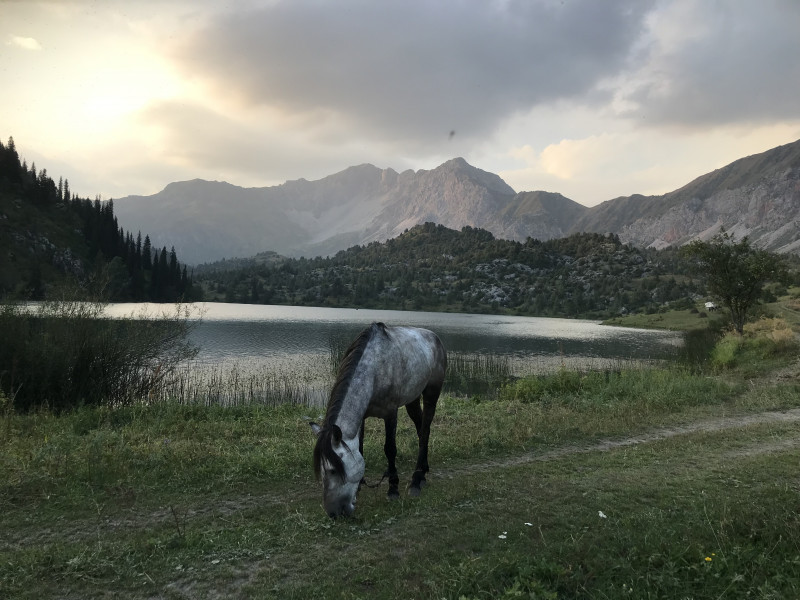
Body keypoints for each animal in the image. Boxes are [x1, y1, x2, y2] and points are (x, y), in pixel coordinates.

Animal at [310, 322, 446, 516]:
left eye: (333, 471)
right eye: (321, 471)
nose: (334, 513)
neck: (375, 370)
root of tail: (435, 338)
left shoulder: (390, 414)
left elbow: (390, 449)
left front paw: (393, 488)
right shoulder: (363, 417)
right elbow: (360, 447)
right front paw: (360, 486)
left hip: (431, 394)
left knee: (425, 431)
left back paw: (416, 480)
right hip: (412, 400)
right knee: (421, 429)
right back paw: (424, 471)